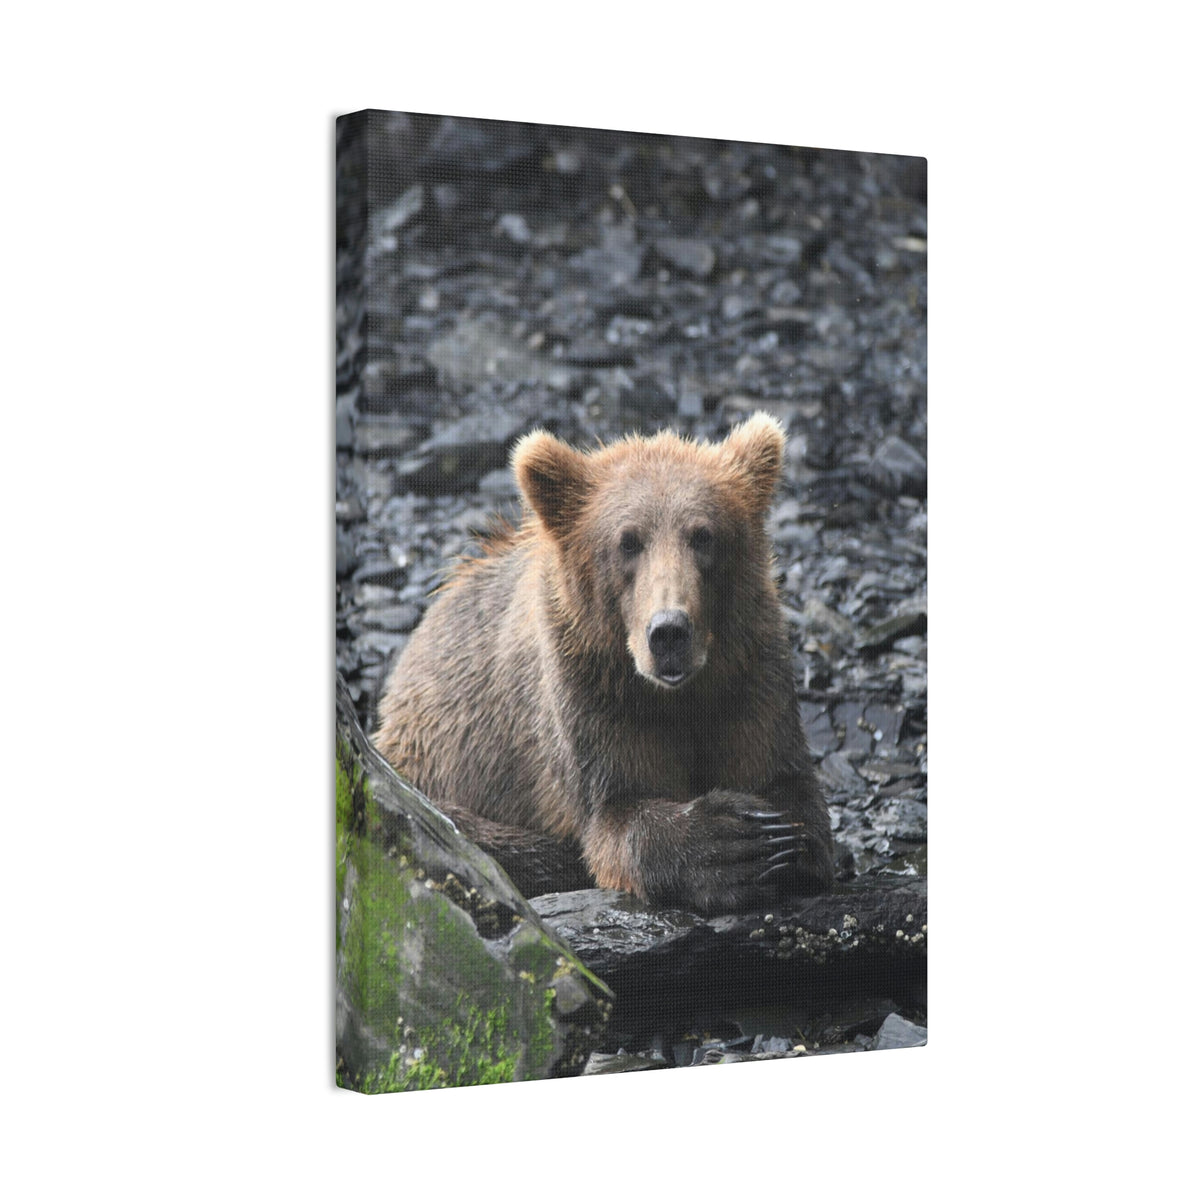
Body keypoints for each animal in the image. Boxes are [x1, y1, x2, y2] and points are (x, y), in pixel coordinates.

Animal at [373, 413, 834, 915]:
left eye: (703, 535)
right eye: (628, 542)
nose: (669, 632)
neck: (676, 695)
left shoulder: (748, 674)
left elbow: (784, 779)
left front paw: (782, 840)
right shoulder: (590, 694)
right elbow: (617, 813)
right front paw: (732, 844)